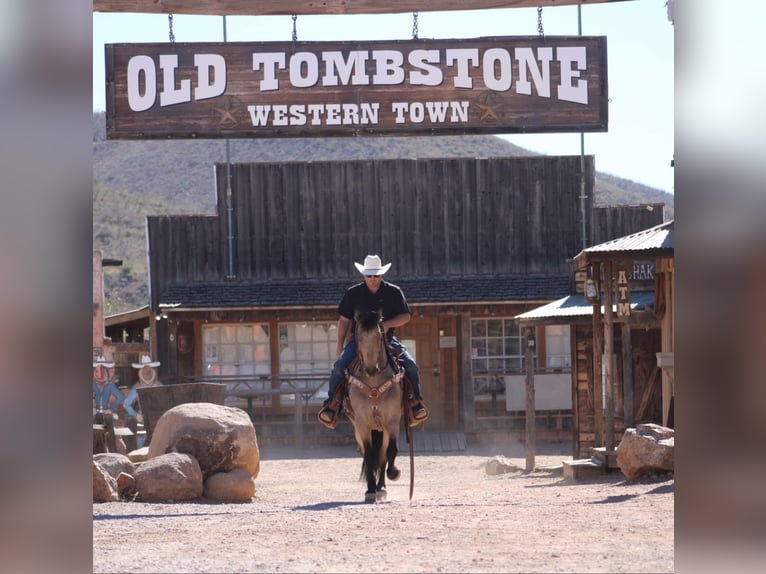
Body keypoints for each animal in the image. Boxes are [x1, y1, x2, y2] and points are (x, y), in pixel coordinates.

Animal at [344, 310, 408, 504]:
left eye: (379, 336)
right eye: (359, 337)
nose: (371, 369)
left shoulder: (392, 421)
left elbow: (390, 451)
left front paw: (393, 474)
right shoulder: (362, 424)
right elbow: (369, 455)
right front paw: (370, 490)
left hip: (383, 428)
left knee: (383, 454)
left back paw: (381, 487)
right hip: (359, 429)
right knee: (368, 454)